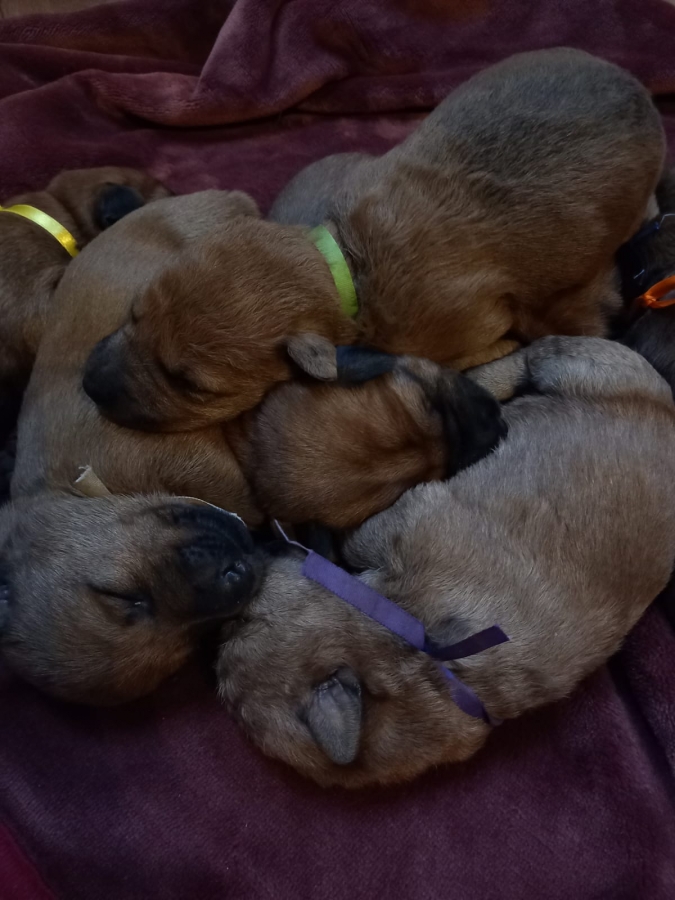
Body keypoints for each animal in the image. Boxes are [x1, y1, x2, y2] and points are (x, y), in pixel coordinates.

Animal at [217, 334, 675, 787]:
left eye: (243, 622)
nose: (252, 554)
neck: (418, 653)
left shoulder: (396, 519)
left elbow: (350, 540)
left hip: (585, 364)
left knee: (533, 354)